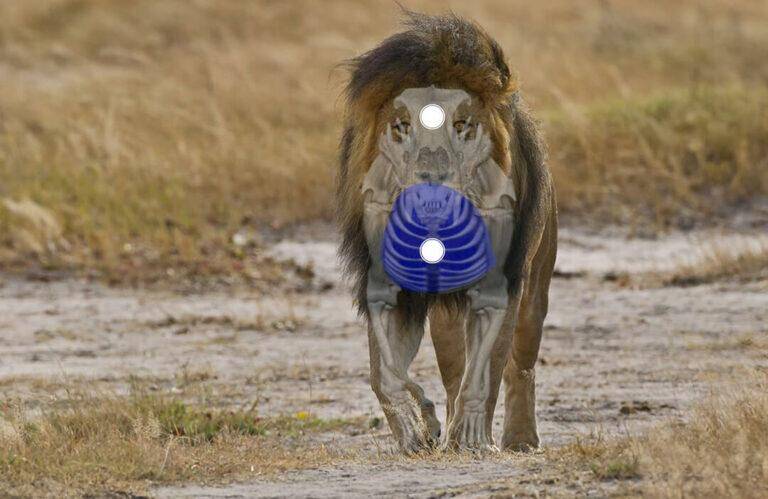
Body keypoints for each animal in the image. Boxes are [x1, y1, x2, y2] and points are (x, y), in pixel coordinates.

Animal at [336, 12, 557, 453]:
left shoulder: (500, 285)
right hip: (446, 320)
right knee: (455, 371)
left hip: (536, 288)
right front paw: (417, 427)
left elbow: (489, 370)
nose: (432, 181)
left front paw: (471, 439)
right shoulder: (388, 287)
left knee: (520, 365)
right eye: (402, 127)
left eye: (462, 126)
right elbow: (383, 376)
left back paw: (520, 438)